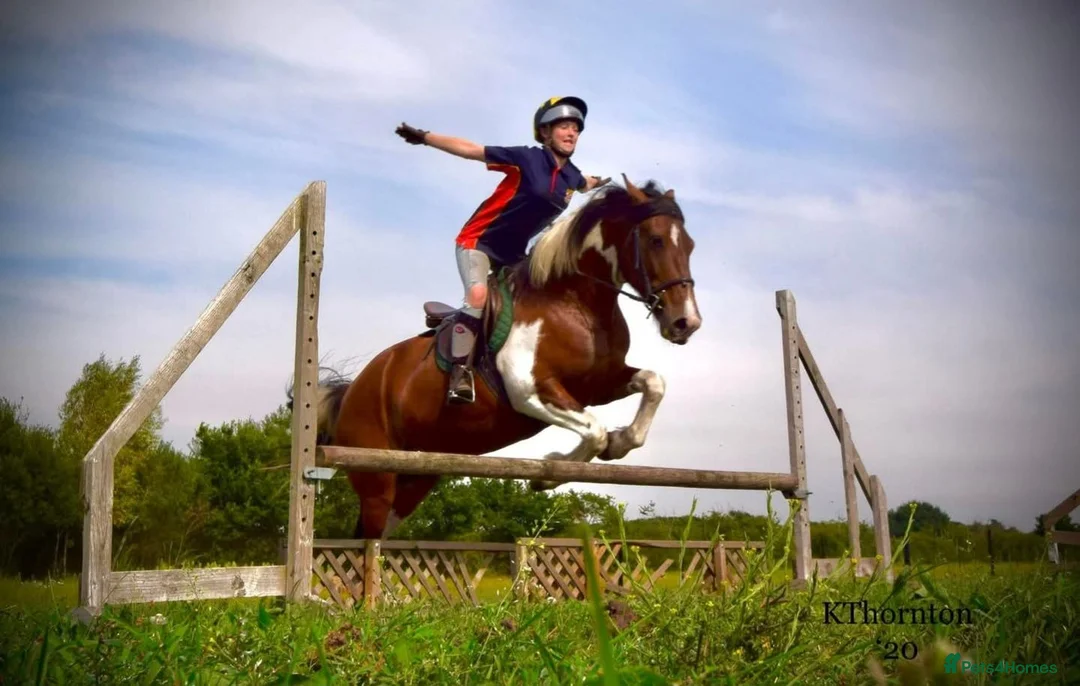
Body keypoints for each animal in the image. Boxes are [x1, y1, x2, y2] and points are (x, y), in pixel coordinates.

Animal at [294, 174, 701, 540]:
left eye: (691, 246)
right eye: (655, 240)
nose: (686, 323)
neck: (574, 301)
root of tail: (353, 390)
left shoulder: (598, 384)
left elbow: (652, 384)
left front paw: (621, 441)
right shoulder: (531, 391)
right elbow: (594, 431)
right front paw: (552, 468)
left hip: (416, 477)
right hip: (377, 477)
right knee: (364, 545)